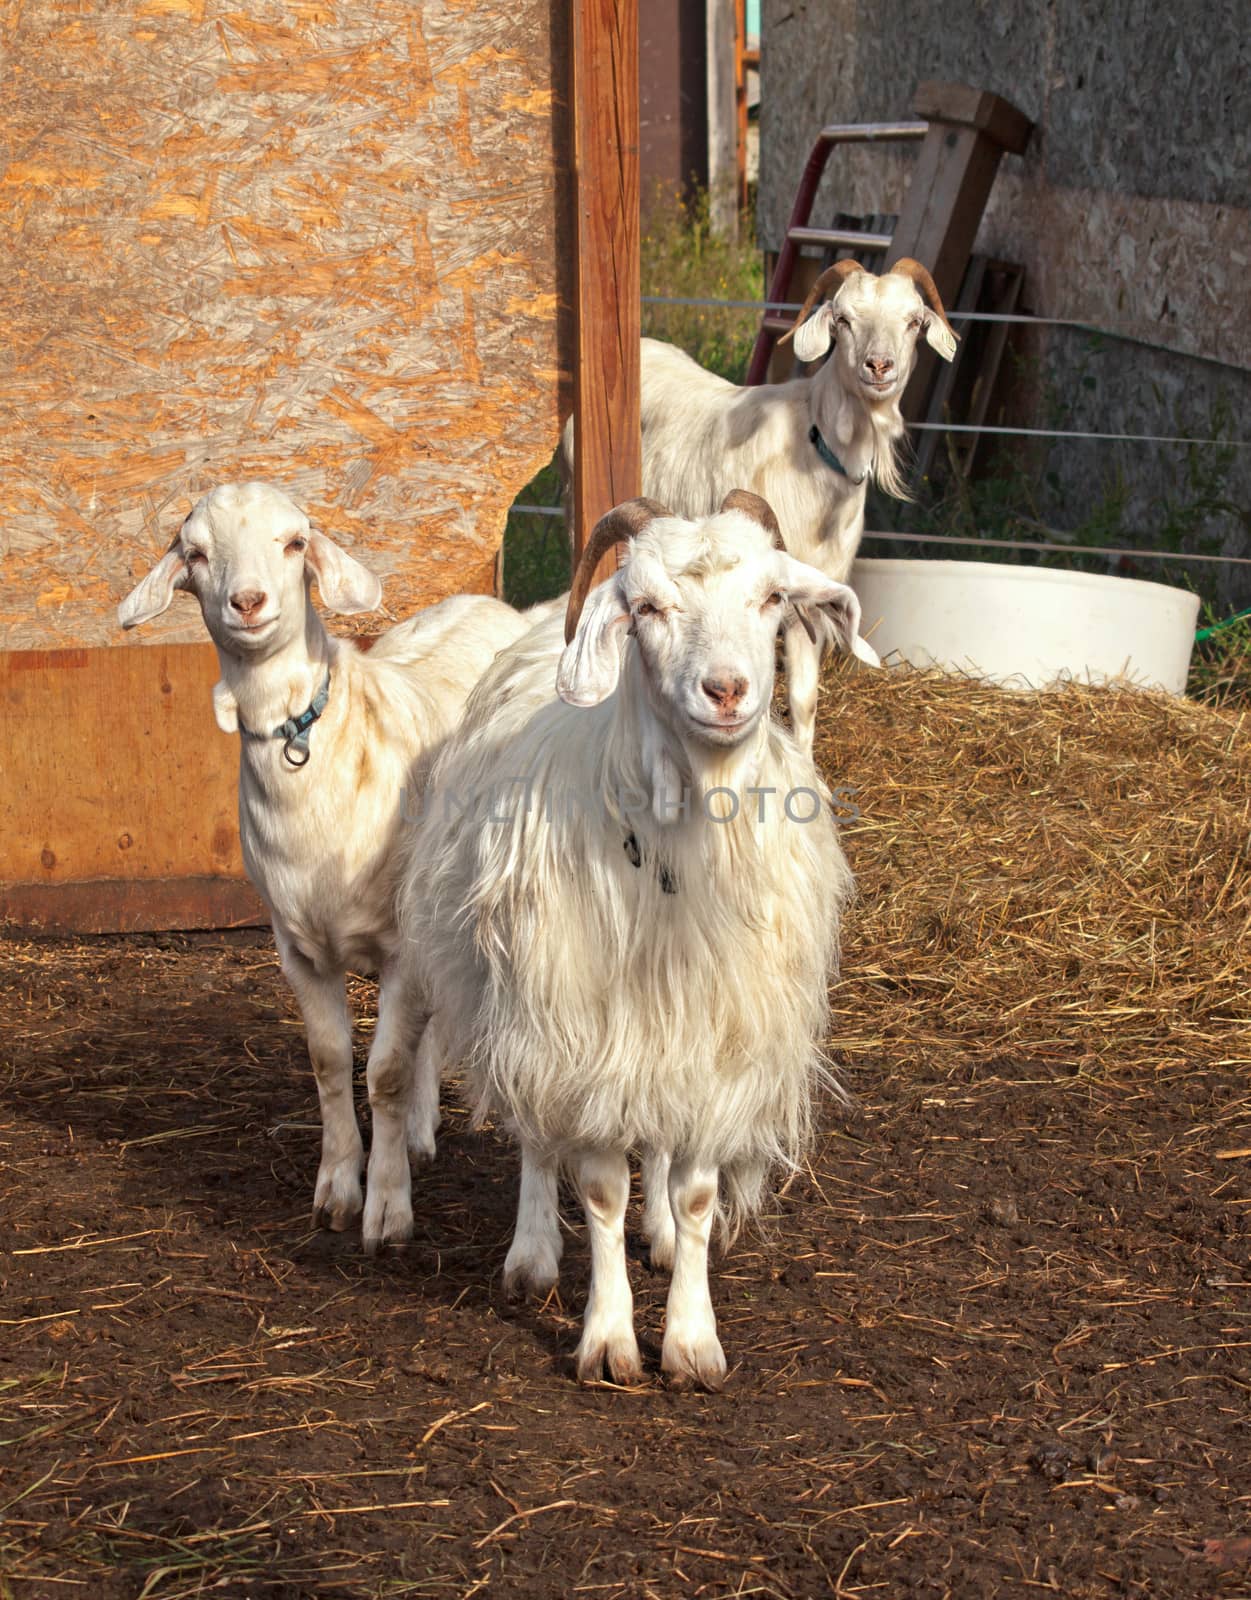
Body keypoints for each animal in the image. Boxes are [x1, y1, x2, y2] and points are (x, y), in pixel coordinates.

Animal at [115, 480, 531, 1254]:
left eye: (294, 542)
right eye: (195, 553)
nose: (248, 602)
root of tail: (488, 603)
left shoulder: (401, 947)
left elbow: (386, 1071)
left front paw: (388, 1211)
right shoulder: (297, 947)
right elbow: (332, 1061)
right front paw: (338, 1189)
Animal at [401, 486, 863, 1388]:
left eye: (771, 596)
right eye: (645, 607)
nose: (727, 690)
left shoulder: (715, 1045)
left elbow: (693, 1192)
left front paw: (689, 1338)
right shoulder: (580, 1031)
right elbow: (599, 1189)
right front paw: (610, 1340)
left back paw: (657, 1237)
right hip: (517, 998)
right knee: (537, 1132)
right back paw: (533, 1255)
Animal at [636, 257, 959, 755]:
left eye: (913, 321)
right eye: (843, 319)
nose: (878, 366)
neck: (813, 444)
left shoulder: (814, 595)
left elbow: (805, 701)